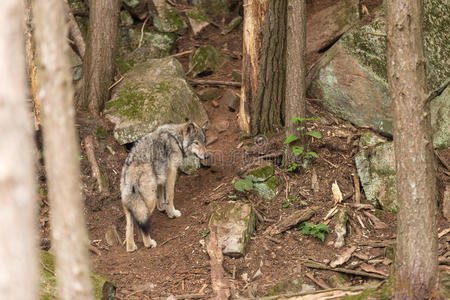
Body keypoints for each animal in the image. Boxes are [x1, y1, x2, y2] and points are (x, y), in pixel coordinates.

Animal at [120, 122, 210, 253]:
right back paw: (148, 243)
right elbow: (170, 195)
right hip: (148, 201)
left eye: (204, 142)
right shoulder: (172, 172)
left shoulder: (161, 176)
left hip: (129, 204)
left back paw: (131, 247)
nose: (207, 156)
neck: (177, 140)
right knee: (142, 223)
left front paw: (162, 207)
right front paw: (172, 213)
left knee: (129, 225)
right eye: (196, 142)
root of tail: (130, 169)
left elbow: (161, 193)